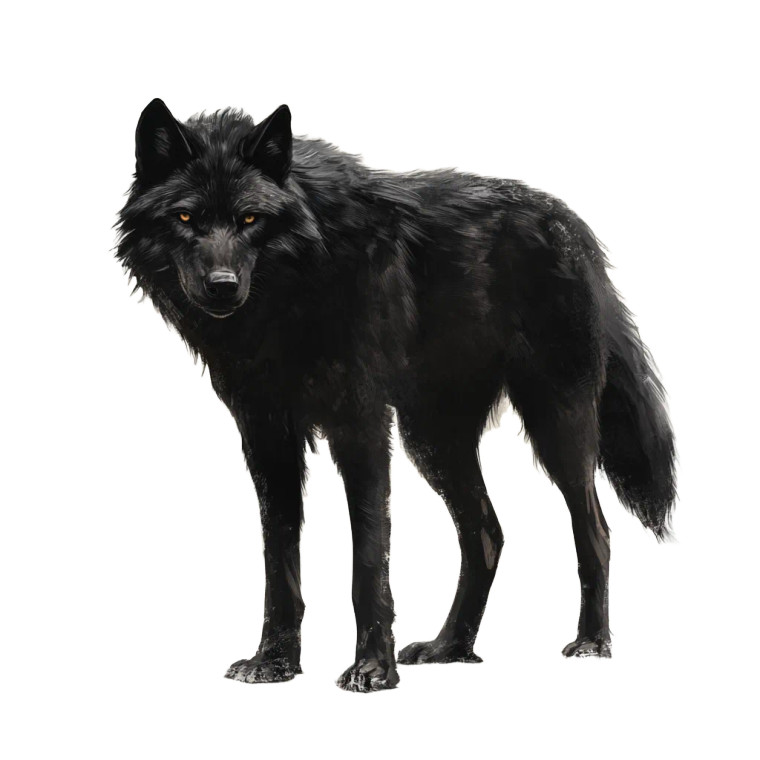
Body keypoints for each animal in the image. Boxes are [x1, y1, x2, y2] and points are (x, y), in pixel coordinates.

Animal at [116, 99, 676, 692]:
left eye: (250, 219)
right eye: (184, 218)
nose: (222, 286)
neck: (298, 286)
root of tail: (572, 224)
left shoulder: (359, 424)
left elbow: (368, 561)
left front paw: (372, 668)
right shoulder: (267, 437)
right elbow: (279, 562)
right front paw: (274, 662)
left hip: (555, 424)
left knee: (595, 530)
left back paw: (592, 642)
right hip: (432, 440)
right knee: (487, 535)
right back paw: (450, 647)